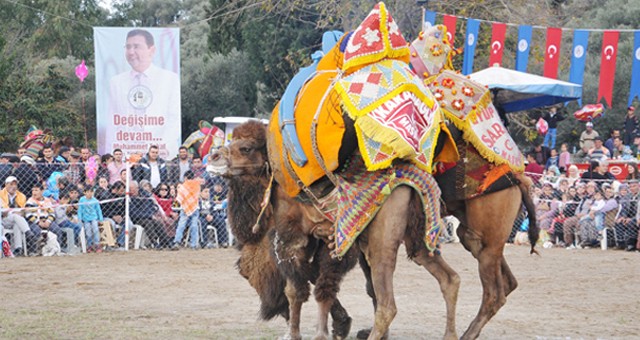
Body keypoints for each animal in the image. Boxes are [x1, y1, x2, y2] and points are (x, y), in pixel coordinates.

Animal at [210, 121, 460, 340]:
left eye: (246, 148)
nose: (213, 157)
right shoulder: (319, 240)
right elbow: (310, 285)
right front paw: (326, 328)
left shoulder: (296, 236)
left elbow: (304, 288)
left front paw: (311, 332)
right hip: (419, 238)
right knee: (450, 278)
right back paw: (452, 334)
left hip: (382, 241)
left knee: (387, 304)